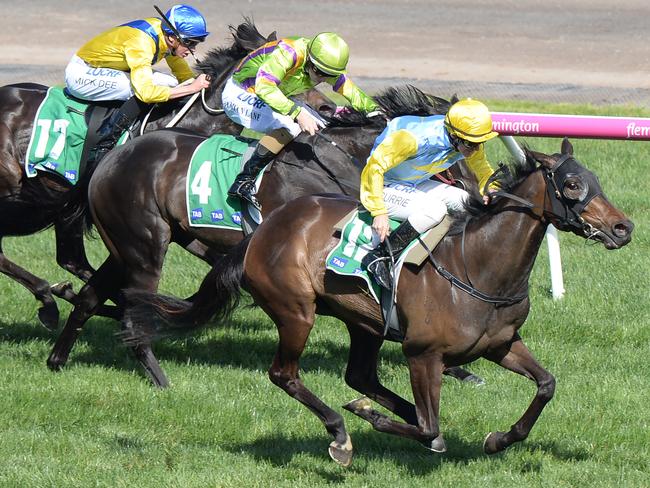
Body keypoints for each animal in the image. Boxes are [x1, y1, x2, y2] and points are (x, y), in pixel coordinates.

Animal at [120, 138, 628, 466]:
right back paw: (341, 433)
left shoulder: (501, 344)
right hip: (296, 311)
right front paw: (372, 419)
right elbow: (429, 426)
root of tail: (262, 231)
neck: (477, 265)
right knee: (286, 374)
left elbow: (546, 385)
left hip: (362, 322)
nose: (624, 228)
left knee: (360, 376)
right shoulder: (423, 354)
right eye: (571, 185)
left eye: (596, 179)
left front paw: (500, 438)